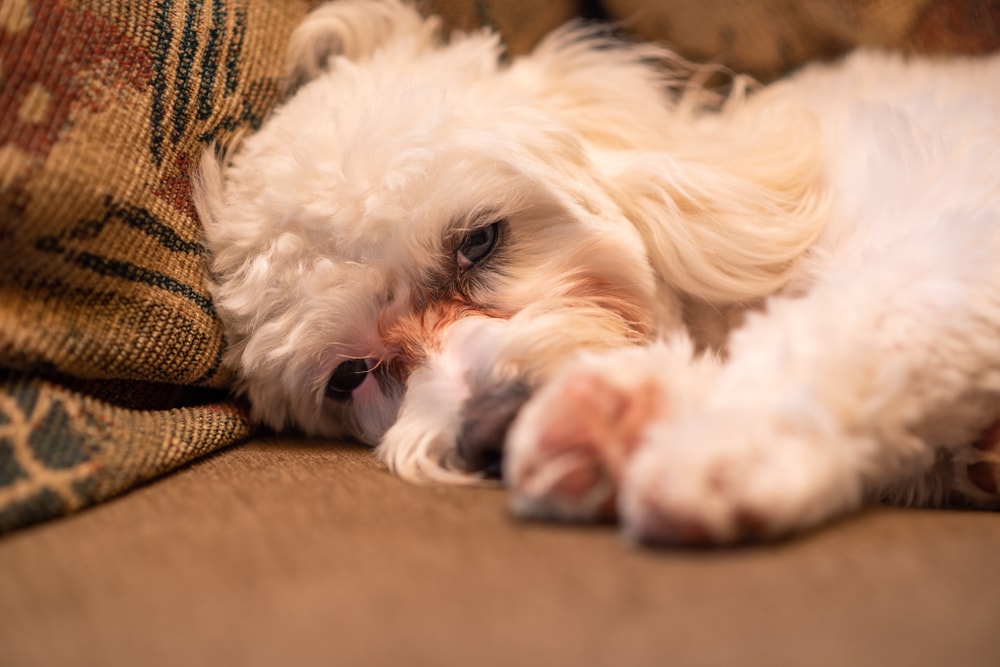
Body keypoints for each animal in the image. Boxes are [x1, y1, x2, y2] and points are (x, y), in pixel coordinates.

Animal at [195, 0, 1000, 544]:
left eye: (479, 241)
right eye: (350, 377)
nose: (492, 431)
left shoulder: (954, 252)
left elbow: (852, 329)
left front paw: (721, 449)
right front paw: (613, 422)